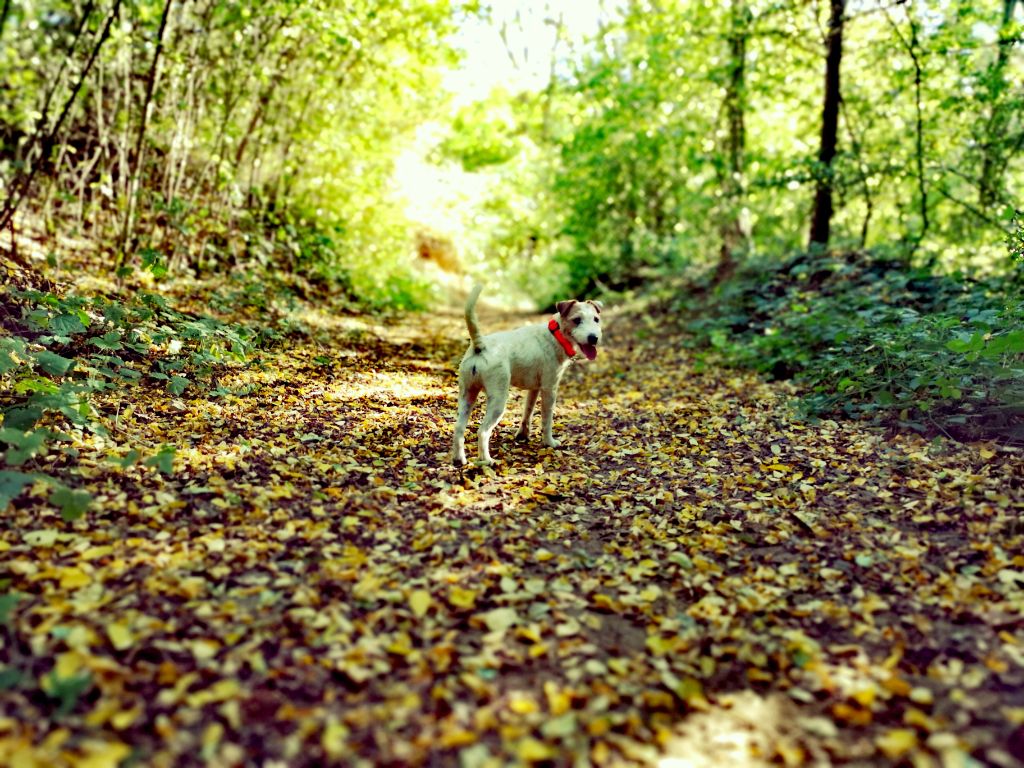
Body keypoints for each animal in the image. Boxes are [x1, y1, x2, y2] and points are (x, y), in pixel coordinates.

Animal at [451, 284, 603, 466]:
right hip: (498, 399)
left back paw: (459, 459)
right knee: (482, 431)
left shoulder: (534, 389)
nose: (593, 338)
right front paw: (549, 442)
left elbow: (527, 412)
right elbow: (547, 419)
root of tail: (481, 346)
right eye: (577, 320)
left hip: (467, 394)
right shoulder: (549, 389)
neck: (555, 335)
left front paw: (523, 434)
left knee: (459, 428)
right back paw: (486, 460)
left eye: (596, 319)